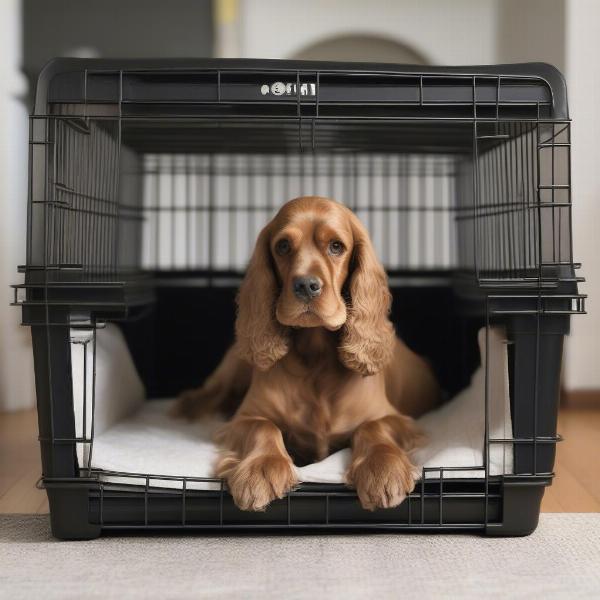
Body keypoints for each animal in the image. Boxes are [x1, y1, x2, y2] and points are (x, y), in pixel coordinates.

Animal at [171, 196, 438, 510]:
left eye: (336, 246)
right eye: (283, 246)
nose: (306, 286)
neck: (316, 356)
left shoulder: (396, 419)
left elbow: (373, 427)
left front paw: (383, 470)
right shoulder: (244, 418)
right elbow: (263, 427)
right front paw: (260, 470)